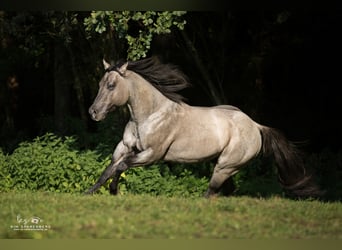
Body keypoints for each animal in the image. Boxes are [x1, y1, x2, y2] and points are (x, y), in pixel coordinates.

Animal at [86, 56, 320, 197]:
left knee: (211, 193)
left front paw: (113, 191)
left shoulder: (152, 155)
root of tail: (256, 126)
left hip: (224, 167)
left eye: (111, 85)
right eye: (100, 84)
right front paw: (90, 193)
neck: (150, 115)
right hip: (225, 167)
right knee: (225, 192)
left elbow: (122, 166)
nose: (93, 112)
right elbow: (109, 169)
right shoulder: (124, 148)